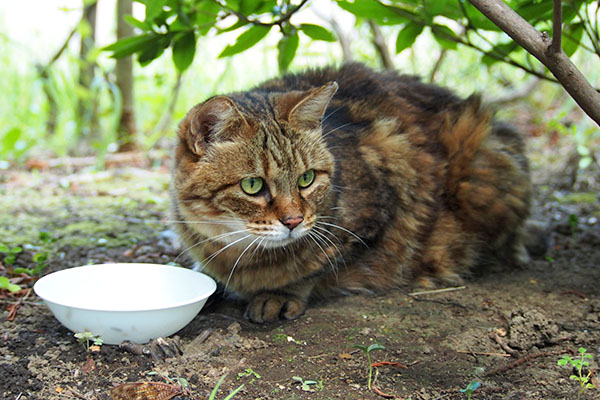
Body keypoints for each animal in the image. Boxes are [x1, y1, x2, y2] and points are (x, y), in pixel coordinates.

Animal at [171, 64, 532, 324]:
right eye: (252, 186)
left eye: (306, 179)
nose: (294, 221)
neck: (236, 251)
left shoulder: (378, 209)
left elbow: (315, 268)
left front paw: (281, 292)